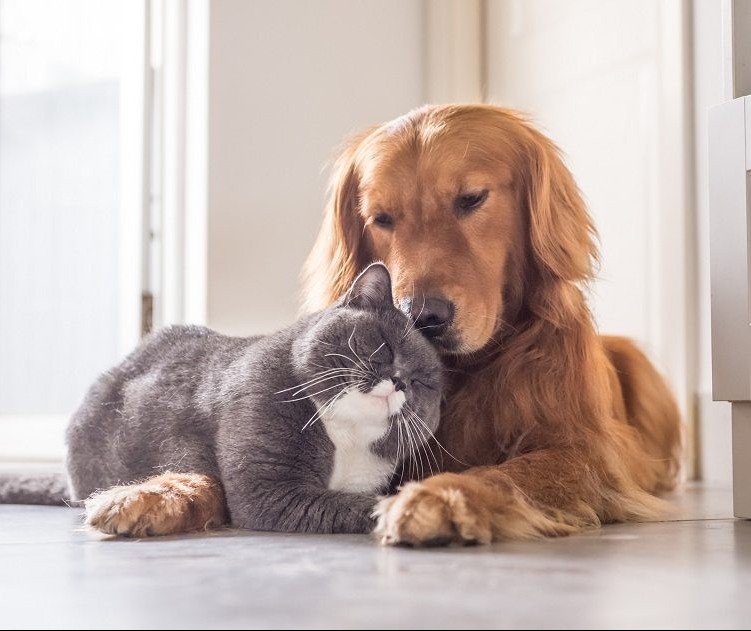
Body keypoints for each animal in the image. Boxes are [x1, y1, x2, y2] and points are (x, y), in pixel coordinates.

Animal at [0, 264, 444, 536]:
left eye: (423, 382)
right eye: (384, 346)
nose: (399, 381)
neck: (346, 437)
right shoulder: (269, 488)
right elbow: (357, 504)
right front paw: (405, 510)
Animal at [304, 105, 680, 548]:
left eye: (471, 199)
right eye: (381, 218)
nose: (421, 316)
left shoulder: (585, 453)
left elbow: (508, 473)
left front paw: (441, 497)